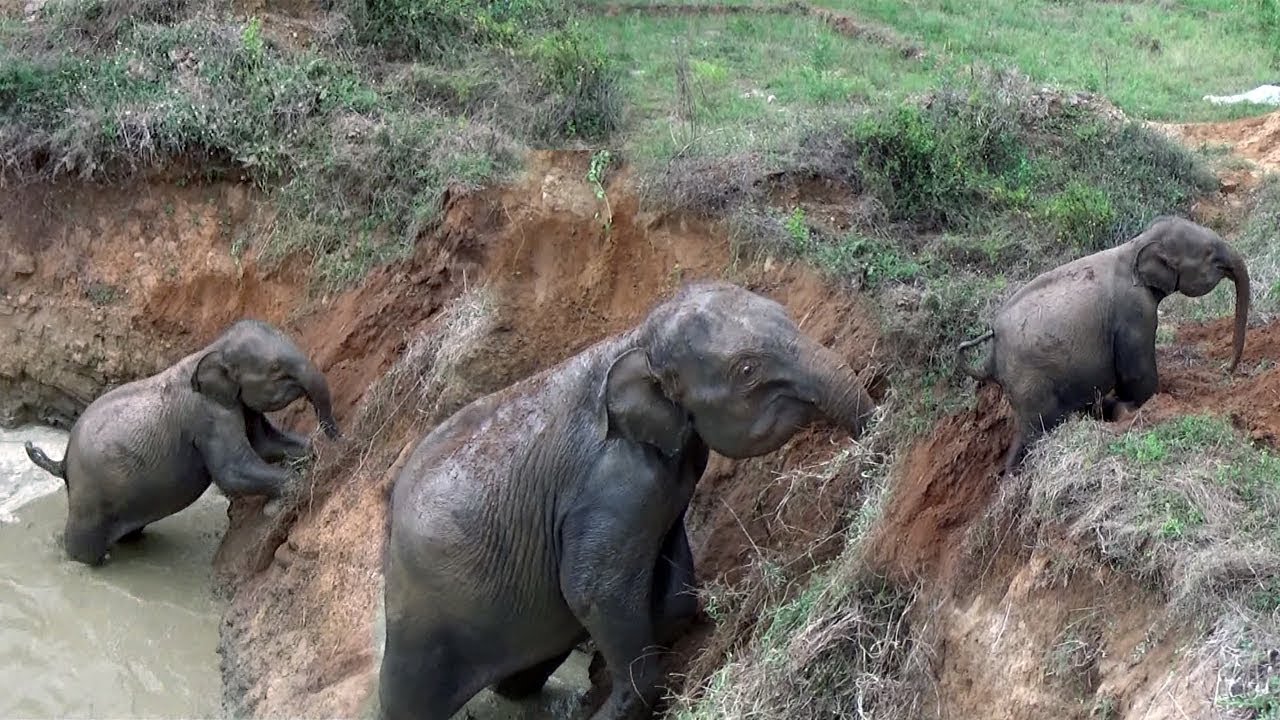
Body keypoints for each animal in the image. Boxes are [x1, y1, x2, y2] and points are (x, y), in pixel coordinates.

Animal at [23, 319, 340, 566]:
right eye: (276, 369)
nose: (340, 439)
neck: (213, 347)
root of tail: (63, 460)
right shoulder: (207, 414)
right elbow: (233, 470)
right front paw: (288, 495)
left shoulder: (234, 402)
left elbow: (265, 443)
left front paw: (310, 458)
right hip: (89, 496)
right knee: (84, 547)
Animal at [378, 280, 876, 720]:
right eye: (747, 370)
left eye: (786, 314)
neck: (634, 339)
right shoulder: (611, 485)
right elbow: (592, 590)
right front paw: (623, 698)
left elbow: (672, 582)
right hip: (423, 612)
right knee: (408, 699)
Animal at [958, 215, 1249, 474]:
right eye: (1210, 254)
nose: (1226, 369)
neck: (1136, 244)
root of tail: (991, 356)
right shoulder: (1134, 312)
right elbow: (1136, 372)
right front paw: (1136, 407)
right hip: (1028, 383)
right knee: (1037, 431)